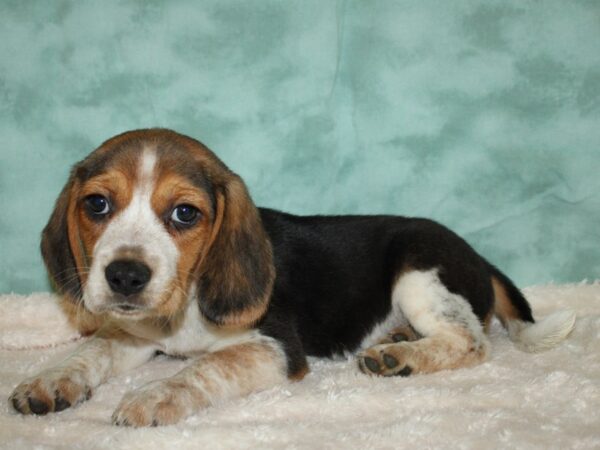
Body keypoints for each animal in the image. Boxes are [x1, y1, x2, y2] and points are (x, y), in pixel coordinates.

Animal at [9, 129, 576, 426]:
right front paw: (49, 380)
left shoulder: (274, 348)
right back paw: (394, 343)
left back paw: (403, 357)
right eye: (97, 205)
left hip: (419, 269)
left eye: (185, 214)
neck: (185, 303)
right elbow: (94, 349)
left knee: (472, 341)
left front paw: (154, 396)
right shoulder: (134, 332)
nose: (125, 275)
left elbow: (204, 368)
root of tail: (478, 257)